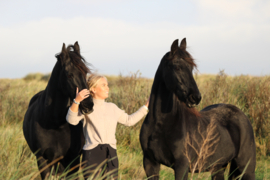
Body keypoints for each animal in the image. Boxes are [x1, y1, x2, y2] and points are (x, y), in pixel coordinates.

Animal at [22, 41, 94, 179]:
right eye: (69, 74)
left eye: (85, 73)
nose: (88, 105)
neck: (55, 123)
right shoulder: (42, 159)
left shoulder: (73, 159)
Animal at [140, 38, 256, 180]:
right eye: (177, 67)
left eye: (191, 68)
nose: (195, 97)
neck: (160, 124)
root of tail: (242, 115)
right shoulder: (150, 163)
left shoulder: (181, 166)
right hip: (218, 167)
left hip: (246, 168)